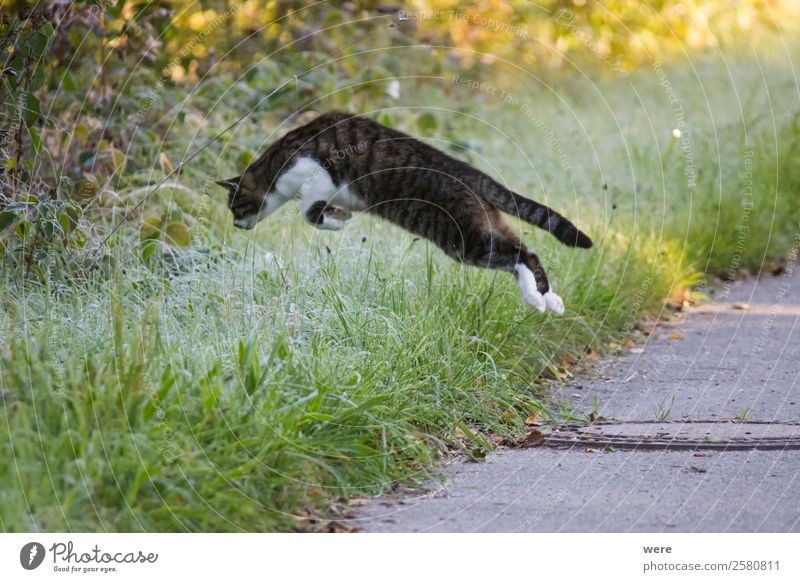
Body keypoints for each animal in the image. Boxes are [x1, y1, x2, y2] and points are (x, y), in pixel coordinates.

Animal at [216, 113, 592, 314]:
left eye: (236, 206)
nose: (235, 224)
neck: (276, 167)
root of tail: (471, 174)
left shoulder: (318, 177)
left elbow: (309, 213)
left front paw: (337, 221)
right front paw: (340, 215)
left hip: (462, 240)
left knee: (519, 255)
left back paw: (539, 300)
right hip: (481, 227)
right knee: (524, 252)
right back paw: (546, 299)